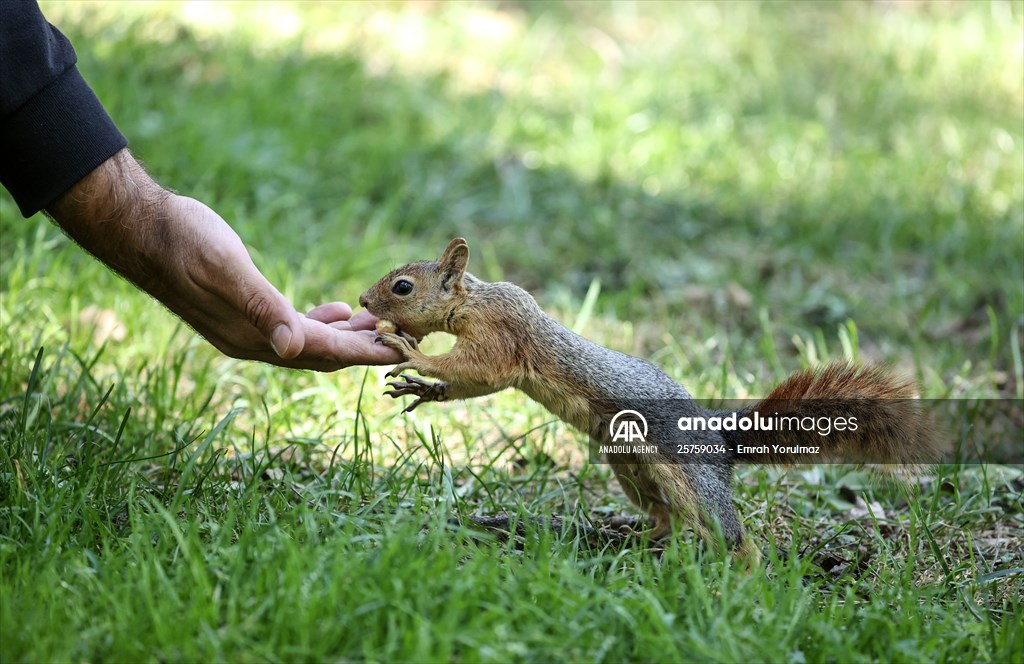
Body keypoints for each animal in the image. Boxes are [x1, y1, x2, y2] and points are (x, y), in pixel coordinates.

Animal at [358, 238, 941, 565]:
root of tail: (721, 439)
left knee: (726, 534)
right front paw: (423, 388)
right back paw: (632, 536)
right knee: (667, 519)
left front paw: (414, 356)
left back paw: (744, 578)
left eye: (403, 286)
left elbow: (478, 369)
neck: (473, 300)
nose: (363, 300)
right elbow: (471, 384)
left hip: (688, 475)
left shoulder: (500, 335)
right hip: (629, 465)